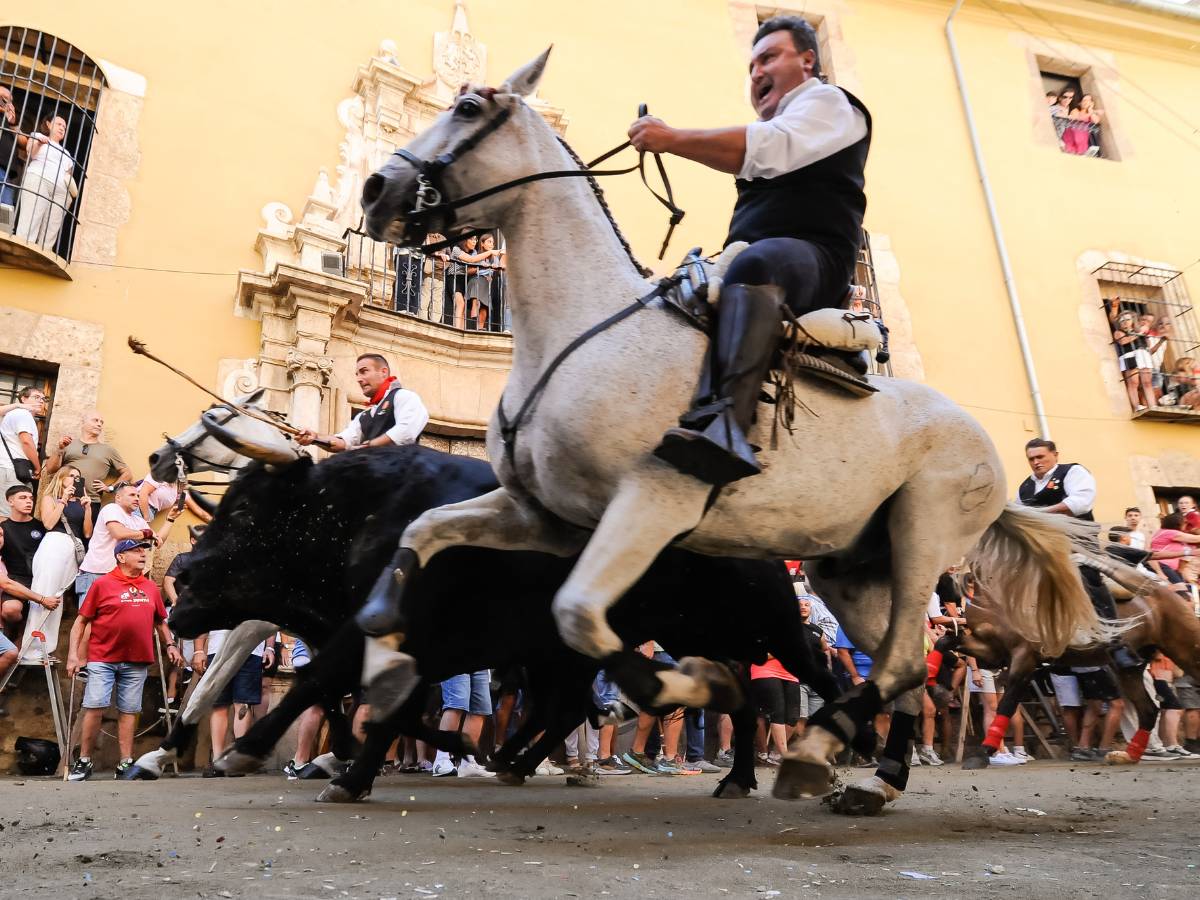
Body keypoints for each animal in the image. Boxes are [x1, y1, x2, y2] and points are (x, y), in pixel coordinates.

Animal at [166, 448, 844, 801]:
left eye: (245, 508)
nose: (179, 577)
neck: (361, 510)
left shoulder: (373, 634)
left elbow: (326, 689)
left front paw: (254, 753)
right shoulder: (410, 651)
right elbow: (374, 707)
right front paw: (365, 766)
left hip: (766, 624)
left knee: (813, 670)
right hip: (687, 637)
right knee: (730, 699)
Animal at [355, 49, 1113, 801]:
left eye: (467, 110)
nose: (375, 189)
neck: (579, 333)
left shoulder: (653, 503)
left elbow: (578, 616)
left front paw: (686, 684)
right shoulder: (546, 516)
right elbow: (425, 531)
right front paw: (385, 656)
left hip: (921, 539)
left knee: (893, 664)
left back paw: (821, 748)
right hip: (852, 570)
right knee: (905, 666)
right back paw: (875, 772)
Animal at [955, 564, 1200, 768]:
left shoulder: (1024, 656)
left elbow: (1007, 703)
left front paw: (984, 751)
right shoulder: (992, 650)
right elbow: (951, 641)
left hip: (1183, 646)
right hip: (1128, 669)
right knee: (1148, 710)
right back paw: (1128, 756)